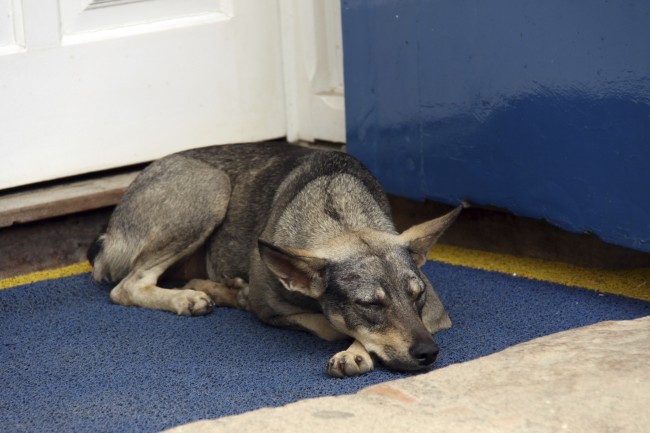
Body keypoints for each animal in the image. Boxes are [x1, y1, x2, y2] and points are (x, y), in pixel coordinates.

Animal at [87, 141, 460, 374]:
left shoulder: (435, 314)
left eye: (418, 296)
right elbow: (330, 326)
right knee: (127, 286)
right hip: (211, 188)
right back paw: (188, 298)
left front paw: (354, 352)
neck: (337, 214)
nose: (429, 353)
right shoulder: (269, 307)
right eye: (368, 305)